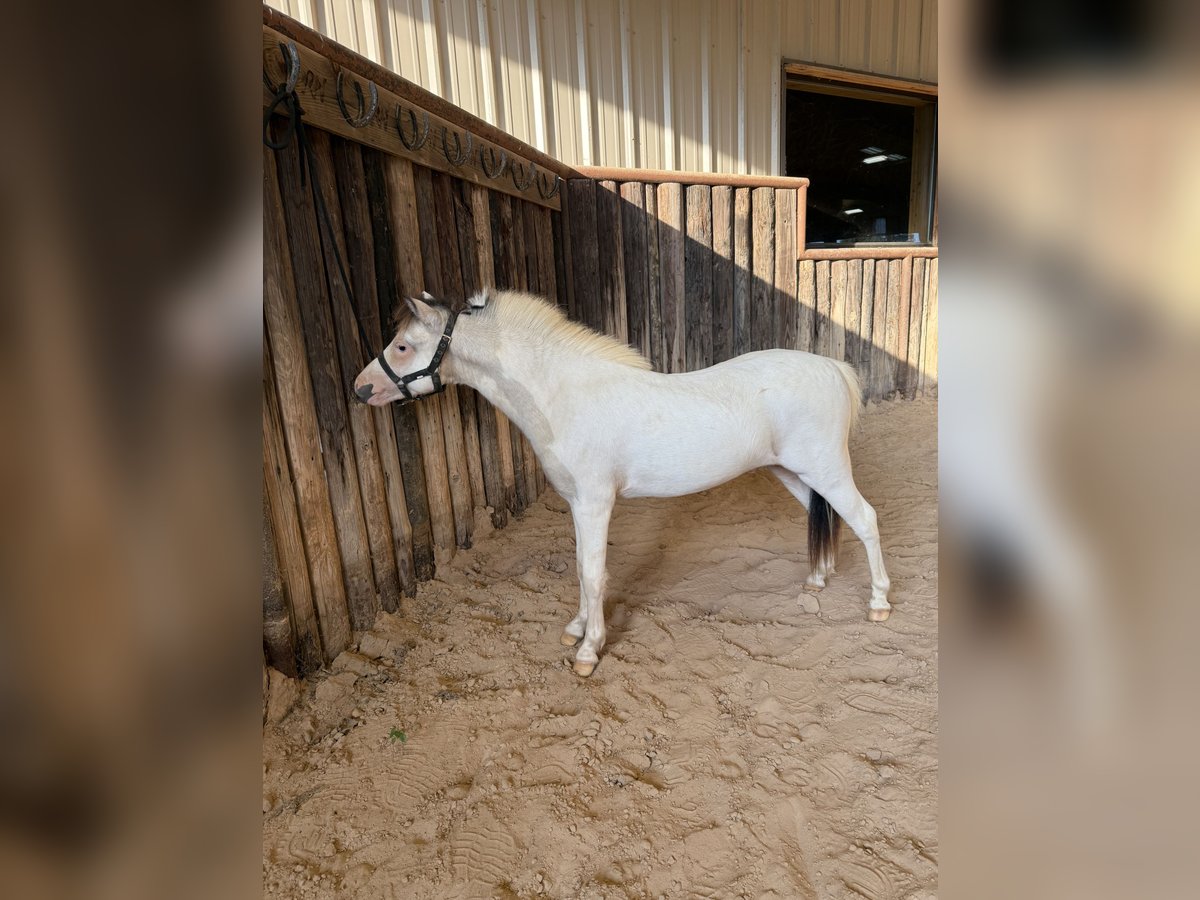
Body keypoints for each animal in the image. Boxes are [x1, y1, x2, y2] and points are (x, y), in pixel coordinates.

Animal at [353, 288, 891, 676]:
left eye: (402, 346)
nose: (361, 389)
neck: (565, 395)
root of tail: (833, 367)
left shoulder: (595, 503)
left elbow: (595, 574)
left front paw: (589, 651)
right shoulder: (576, 504)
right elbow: (579, 569)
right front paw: (576, 628)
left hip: (826, 468)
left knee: (865, 519)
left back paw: (879, 604)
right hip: (795, 472)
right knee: (827, 516)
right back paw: (818, 578)